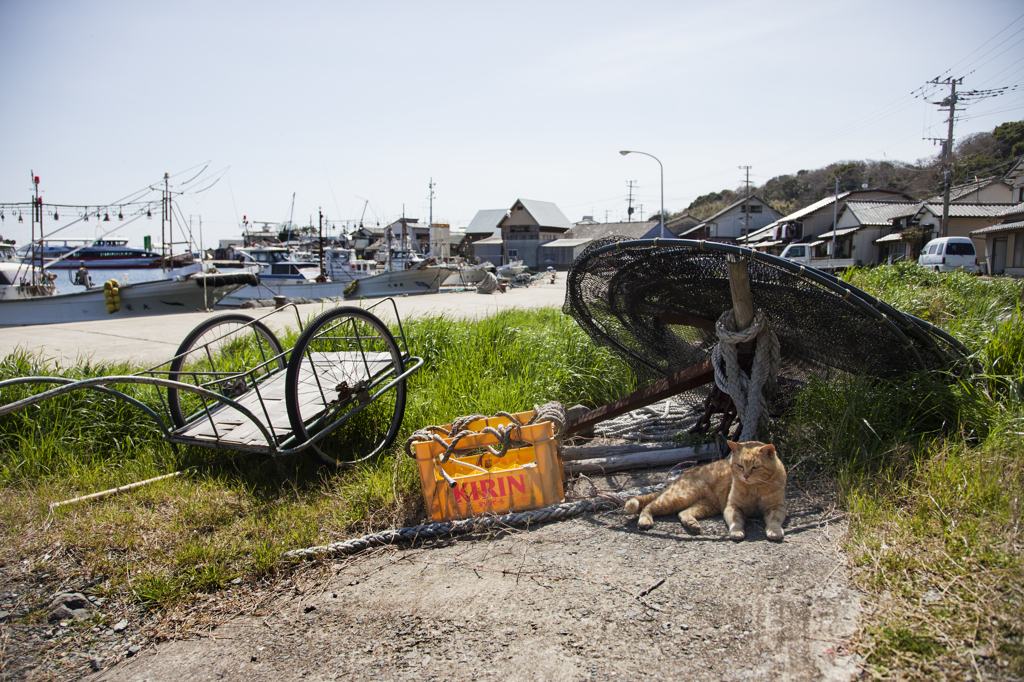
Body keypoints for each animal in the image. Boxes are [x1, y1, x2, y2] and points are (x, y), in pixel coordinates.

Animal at [618, 438, 786, 540]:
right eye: (740, 465)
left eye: (755, 467)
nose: (745, 476)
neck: (754, 488)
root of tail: (682, 475)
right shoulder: (732, 507)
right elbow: (736, 521)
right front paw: (737, 532)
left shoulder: (777, 507)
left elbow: (774, 521)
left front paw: (774, 531)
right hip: (678, 497)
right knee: (648, 506)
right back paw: (645, 520)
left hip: (707, 506)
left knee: (683, 513)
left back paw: (692, 524)